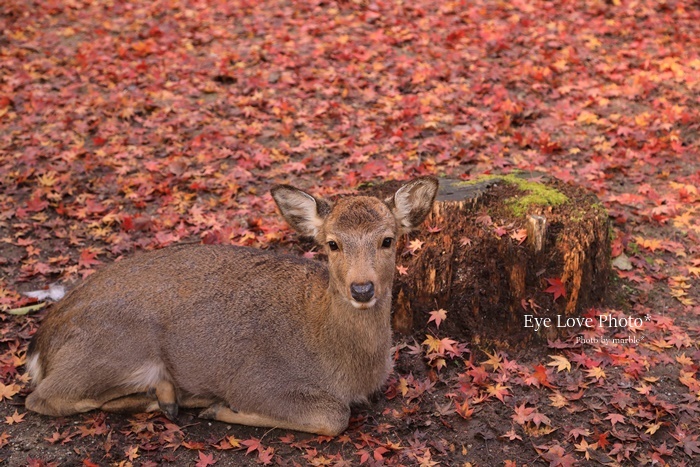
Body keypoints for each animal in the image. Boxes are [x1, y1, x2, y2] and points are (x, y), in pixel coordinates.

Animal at [23, 177, 438, 436]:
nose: (363, 288)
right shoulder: (257, 379)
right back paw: (175, 398)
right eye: (332, 243)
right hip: (115, 348)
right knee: (43, 397)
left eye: (388, 240)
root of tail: (41, 344)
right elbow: (334, 415)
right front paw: (222, 408)